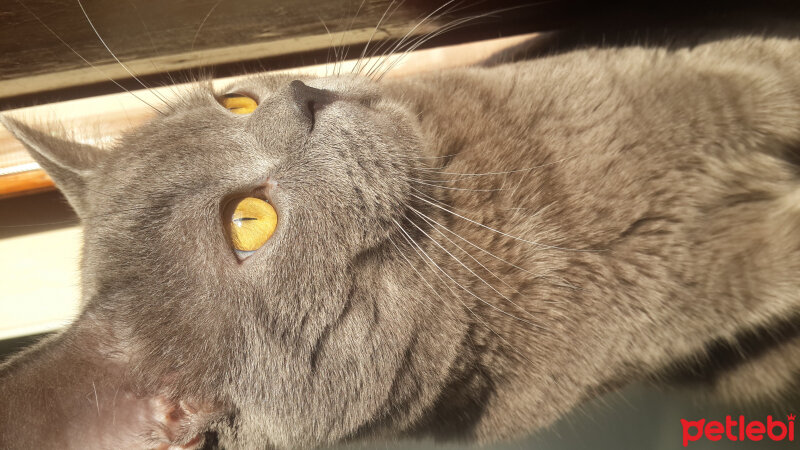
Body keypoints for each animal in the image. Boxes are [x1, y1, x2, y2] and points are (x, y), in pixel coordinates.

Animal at [1, 29, 800, 448]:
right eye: (248, 222)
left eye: (236, 99)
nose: (305, 96)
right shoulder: (678, 296)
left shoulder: (713, 76)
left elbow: (770, 68)